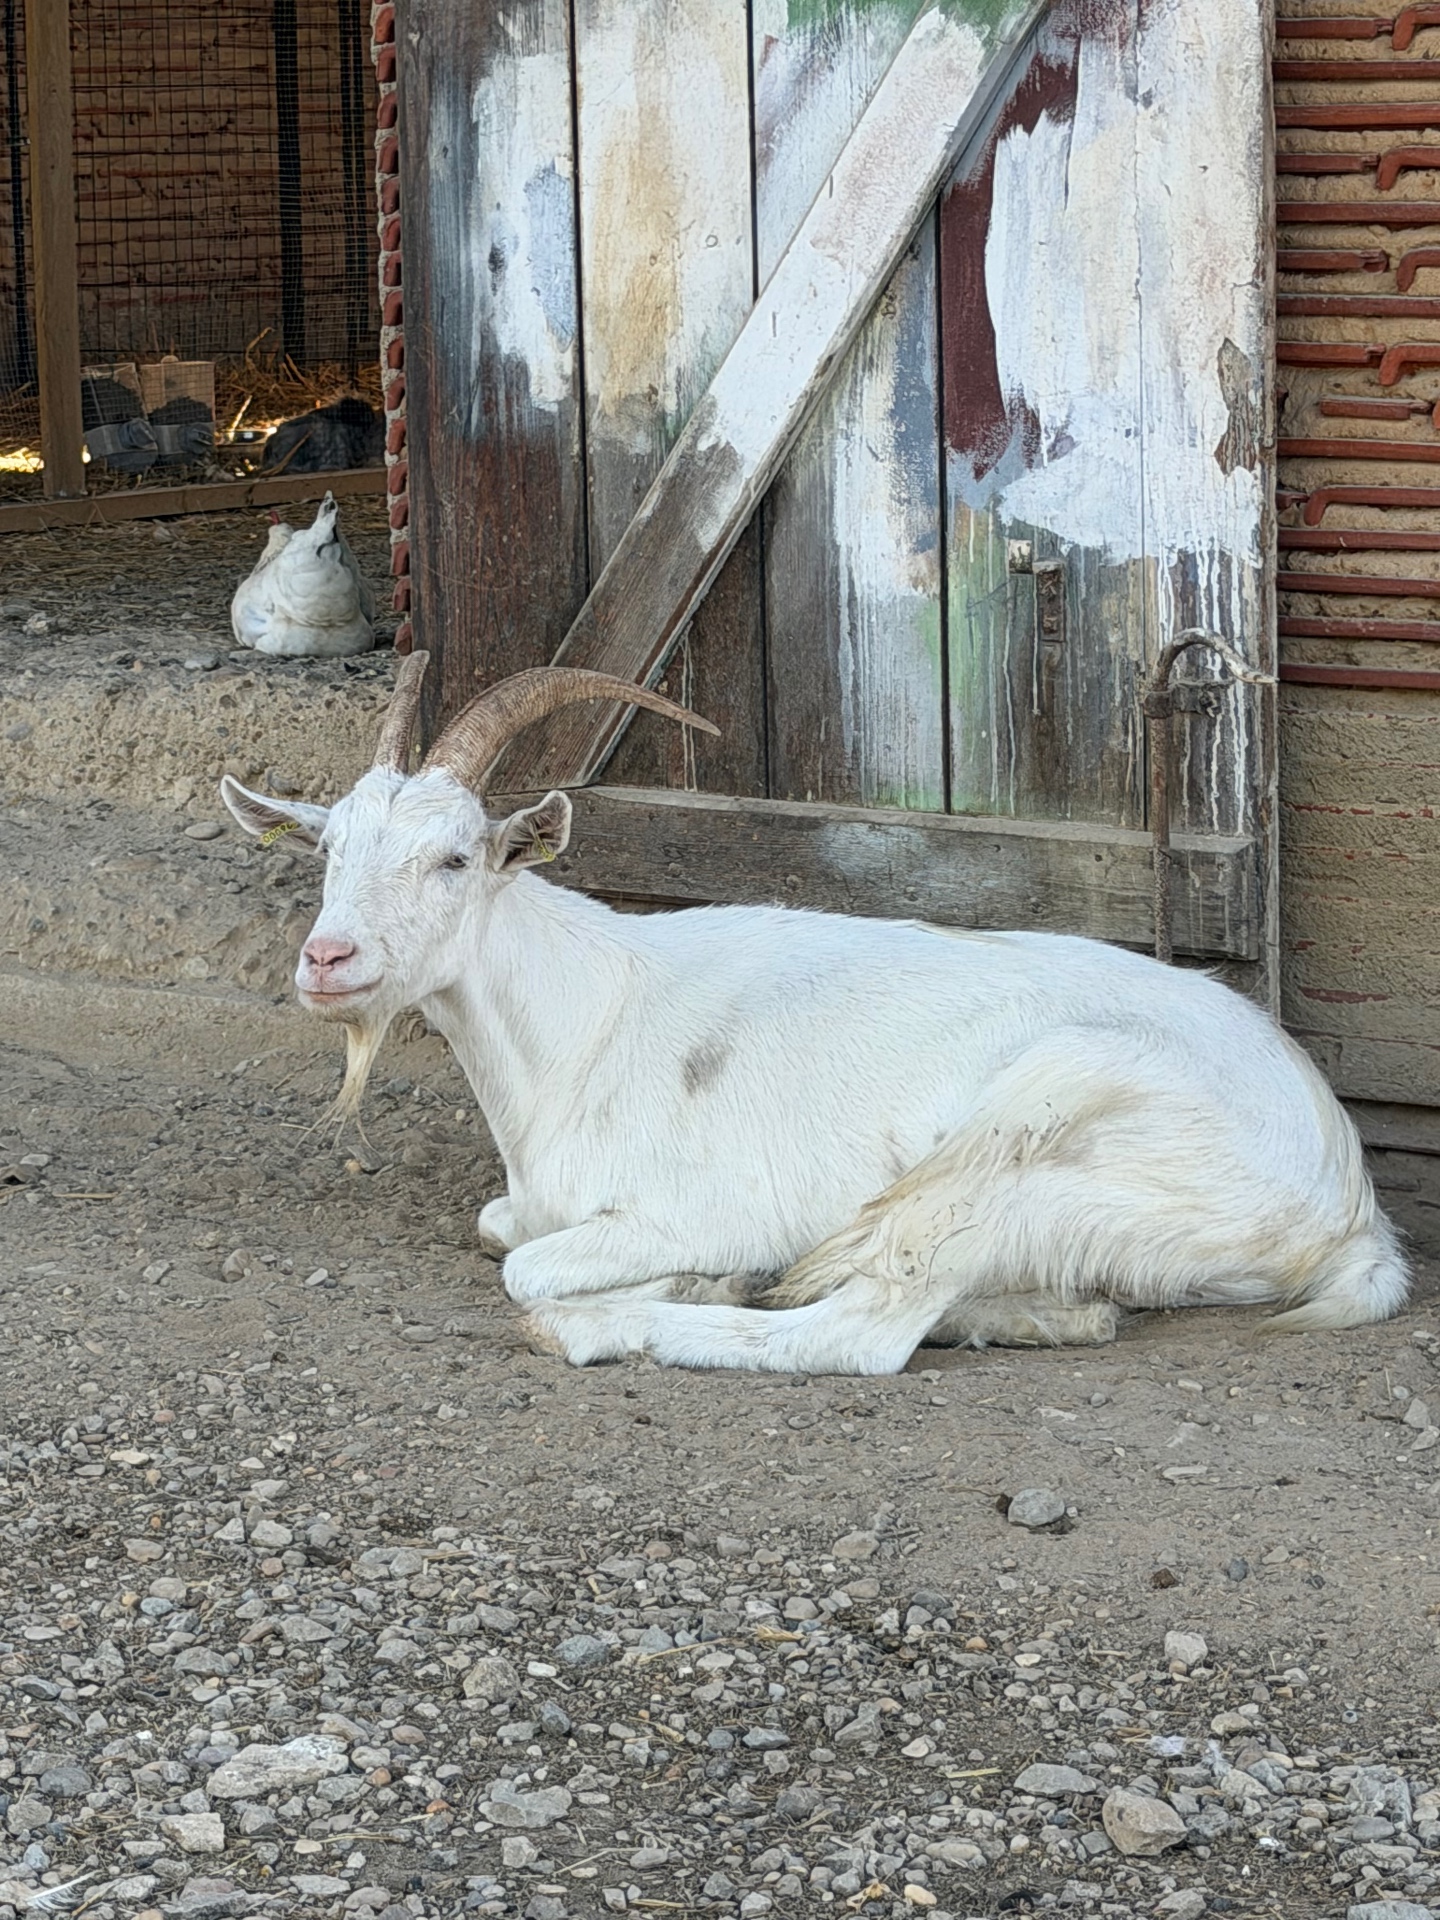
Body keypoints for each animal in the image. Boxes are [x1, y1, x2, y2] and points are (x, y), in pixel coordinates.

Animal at [219, 653, 1408, 1374]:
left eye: (455, 859)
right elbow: (498, 1224)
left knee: (863, 1330)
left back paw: (610, 1322)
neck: (583, 1024)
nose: (326, 960)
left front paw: (666, 1277)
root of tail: (1352, 1207)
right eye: (328, 850)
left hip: (1035, 1133)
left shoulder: (699, 1201)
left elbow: (524, 1257)